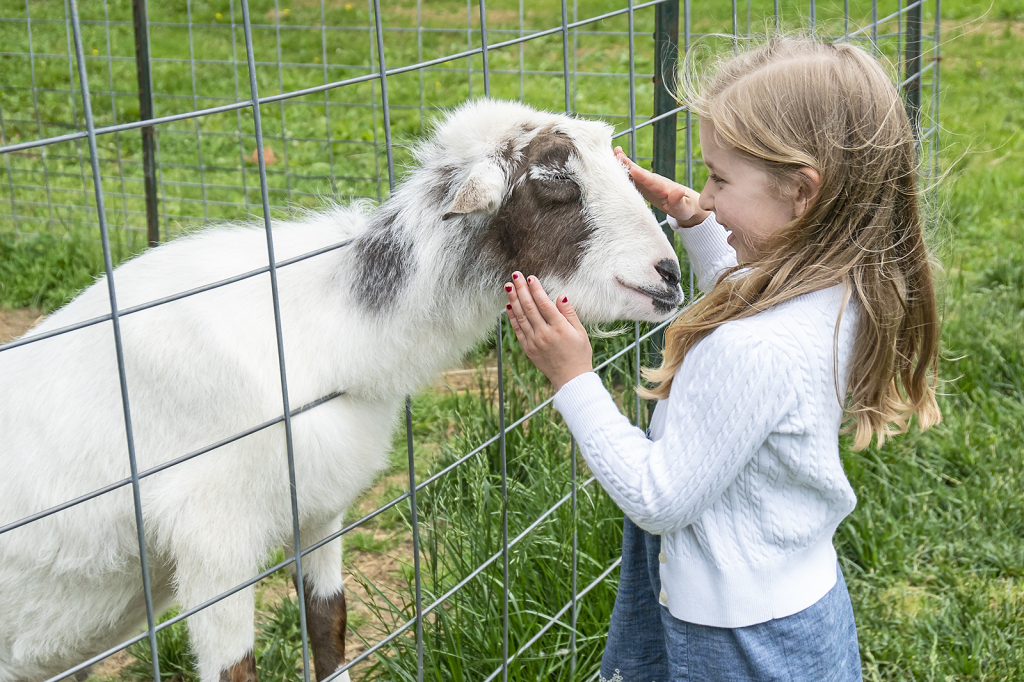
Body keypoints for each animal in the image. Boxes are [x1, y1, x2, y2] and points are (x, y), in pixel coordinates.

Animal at [2, 98, 688, 679]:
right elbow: (236, 668)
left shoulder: (319, 508)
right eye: (554, 184)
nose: (671, 276)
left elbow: (328, 623)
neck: (317, 330)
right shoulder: (214, 544)